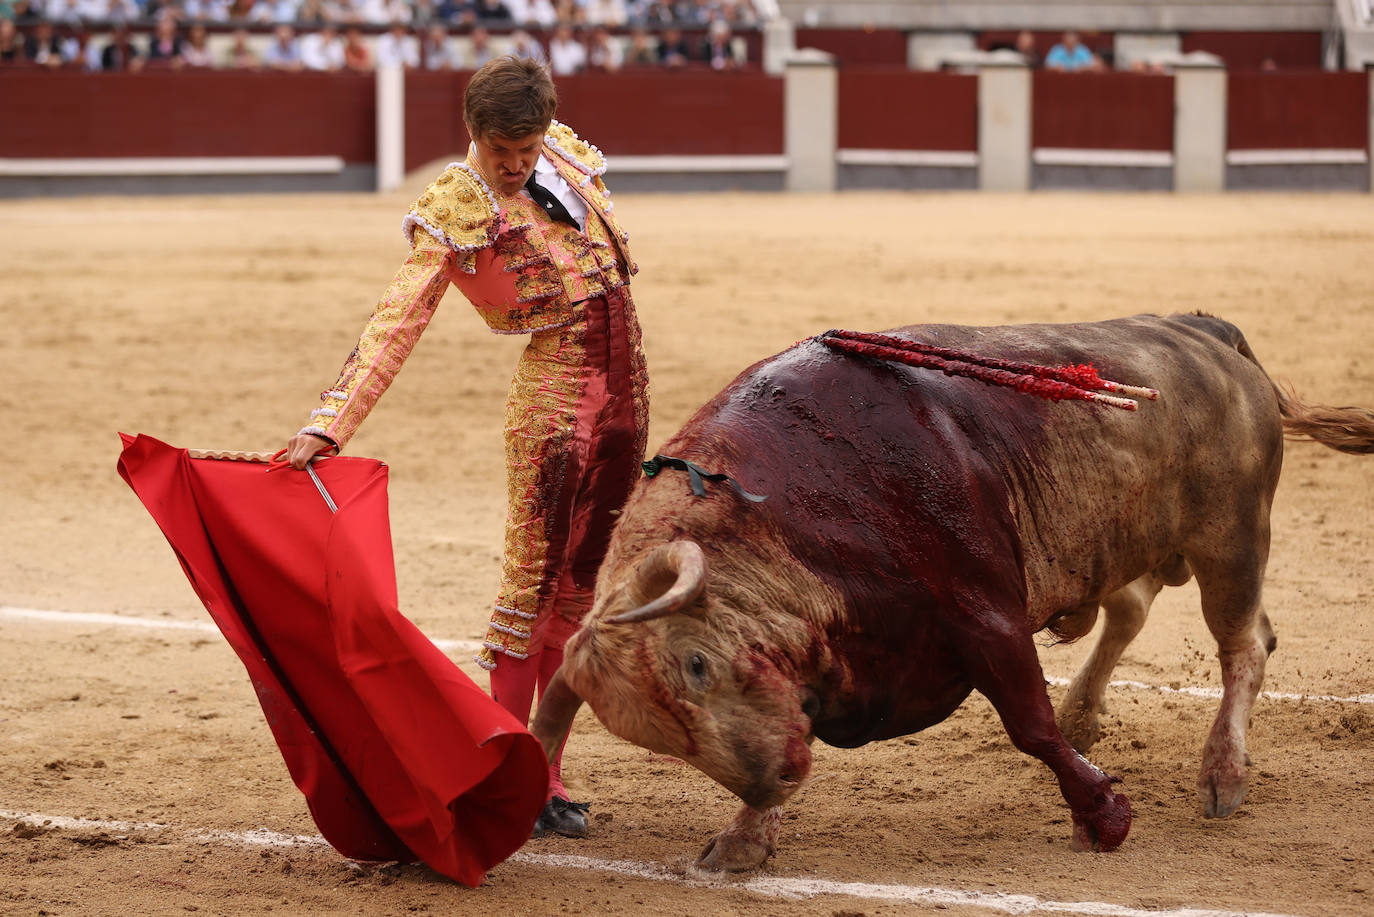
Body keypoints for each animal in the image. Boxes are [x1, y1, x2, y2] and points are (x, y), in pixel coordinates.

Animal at [527, 312, 1374, 874]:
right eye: (661, 740)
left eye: (697, 664)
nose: (781, 776)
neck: (789, 506)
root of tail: (1207, 331)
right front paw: (743, 837)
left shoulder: (983, 609)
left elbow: (1029, 724)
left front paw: (1105, 817)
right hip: (1125, 543)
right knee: (1134, 610)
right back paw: (1089, 712)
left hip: (1230, 539)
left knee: (1243, 643)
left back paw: (1222, 775)